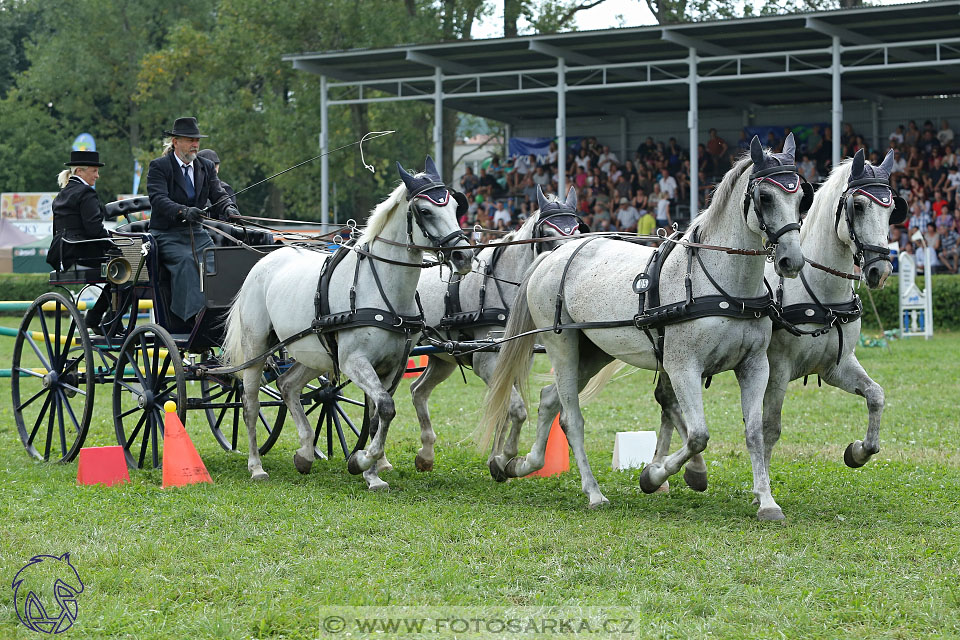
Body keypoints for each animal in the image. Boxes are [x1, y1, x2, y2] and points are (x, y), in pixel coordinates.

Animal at [221, 158, 468, 488]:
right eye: (425, 211)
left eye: (454, 206)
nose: (464, 255)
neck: (381, 289)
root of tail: (265, 260)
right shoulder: (354, 360)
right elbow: (385, 408)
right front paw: (361, 461)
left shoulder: (393, 365)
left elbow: (378, 414)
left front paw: (373, 473)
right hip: (256, 347)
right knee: (250, 404)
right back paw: (256, 466)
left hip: (314, 352)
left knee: (288, 386)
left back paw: (305, 453)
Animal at [406, 186, 580, 476]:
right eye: (547, 234)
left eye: (577, 230)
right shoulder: (486, 361)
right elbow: (516, 409)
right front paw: (505, 456)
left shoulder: (514, 359)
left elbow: (503, 407)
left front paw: (495, 459)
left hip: (443, 359)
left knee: (418, 390)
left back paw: (425, 454)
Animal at [478, 136, 804, 520]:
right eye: (765, 197)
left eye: (802, 196)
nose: (792, 260)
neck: (720, 283)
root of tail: (552, 255)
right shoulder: (683, 367)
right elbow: (698, 435)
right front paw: (654, 475)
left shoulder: (754, 365)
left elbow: (754, 433)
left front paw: (766, 501)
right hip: (562, 345)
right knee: (571, 418)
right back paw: (593, 492)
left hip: (594, 352)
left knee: (548, 401)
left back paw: (520, 463)